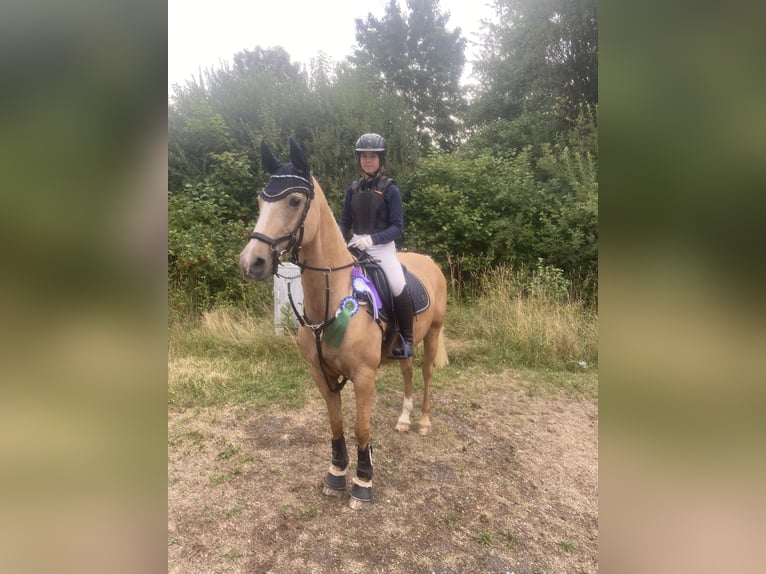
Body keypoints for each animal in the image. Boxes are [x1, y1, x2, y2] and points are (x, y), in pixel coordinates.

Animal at [237, 140, 448, 512]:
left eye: (294, 201)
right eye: (261, 201)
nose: (252, 262)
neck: (333, 299)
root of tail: (429, 262)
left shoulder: (363, 376)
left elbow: (361, 429)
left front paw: (363, 481)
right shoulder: (322, 374)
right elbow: (335, 425)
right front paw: (336, 474)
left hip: (433, 333)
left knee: (425, 374)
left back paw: (422, 422)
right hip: (405, 345)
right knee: (408, 371)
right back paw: (404, 419)